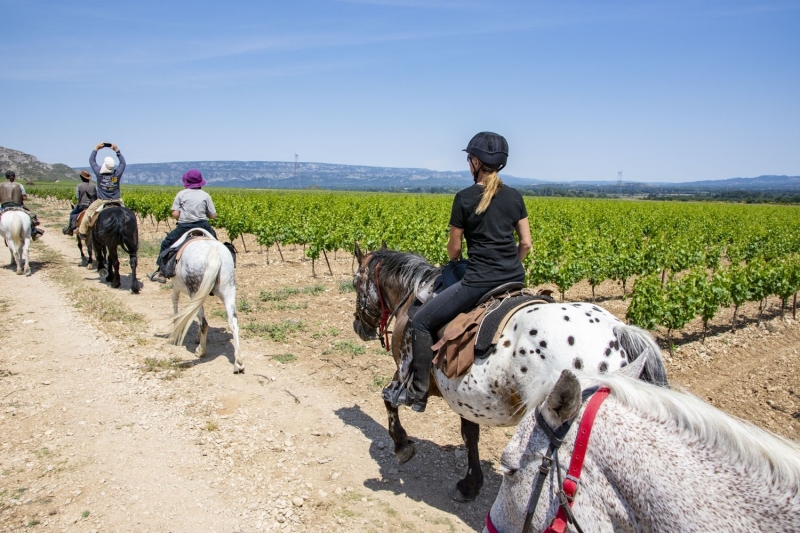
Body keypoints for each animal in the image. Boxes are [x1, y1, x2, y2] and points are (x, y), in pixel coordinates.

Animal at [352, 245, 668, 502]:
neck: (415, 294)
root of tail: (618, 330)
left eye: (355, 283)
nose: (358, 327)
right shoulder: (467, 396)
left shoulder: (405, 372)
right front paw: (471, 484)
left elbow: (388, 400)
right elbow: (470, 435)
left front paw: (401, 444)